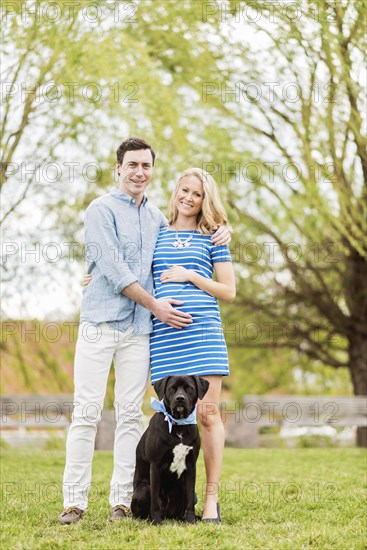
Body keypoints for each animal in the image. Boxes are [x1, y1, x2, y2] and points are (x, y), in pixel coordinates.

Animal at [132, 376, 210, 528]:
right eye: (171, 388)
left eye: (189, 388)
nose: (180, 398)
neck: (179, 425)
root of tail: (168, 515)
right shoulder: (155, 465)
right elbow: (154, 500)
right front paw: (156, 520)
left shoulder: (191, 466)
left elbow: (189, 501)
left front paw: (191, 520)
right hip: (143, 489)